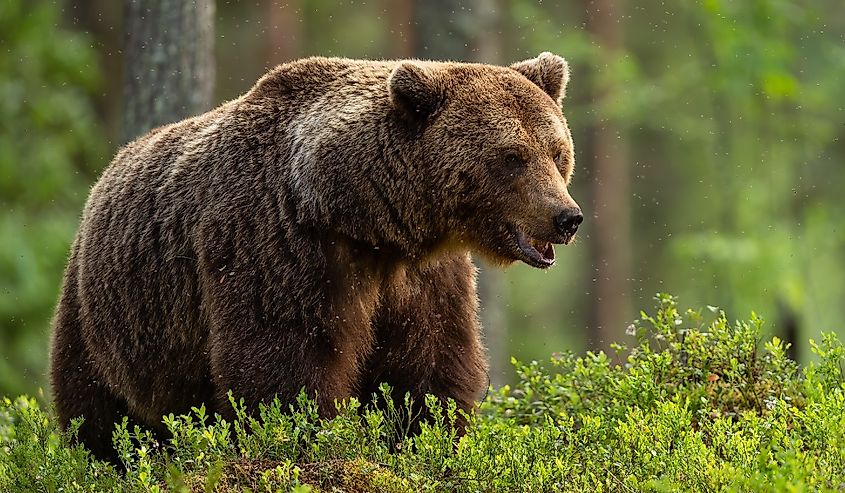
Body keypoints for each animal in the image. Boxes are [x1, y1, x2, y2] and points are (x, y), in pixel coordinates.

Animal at [49, 52, 584, 460]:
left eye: (557, 152)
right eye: (512, 157)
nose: (567, 217)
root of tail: (104, 176)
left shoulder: (422, 277)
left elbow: (430, 363)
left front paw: (423, 438)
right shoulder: (281, 245)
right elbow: (285, 361)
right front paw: (311, 440)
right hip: (108, 316)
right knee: (97, 409)